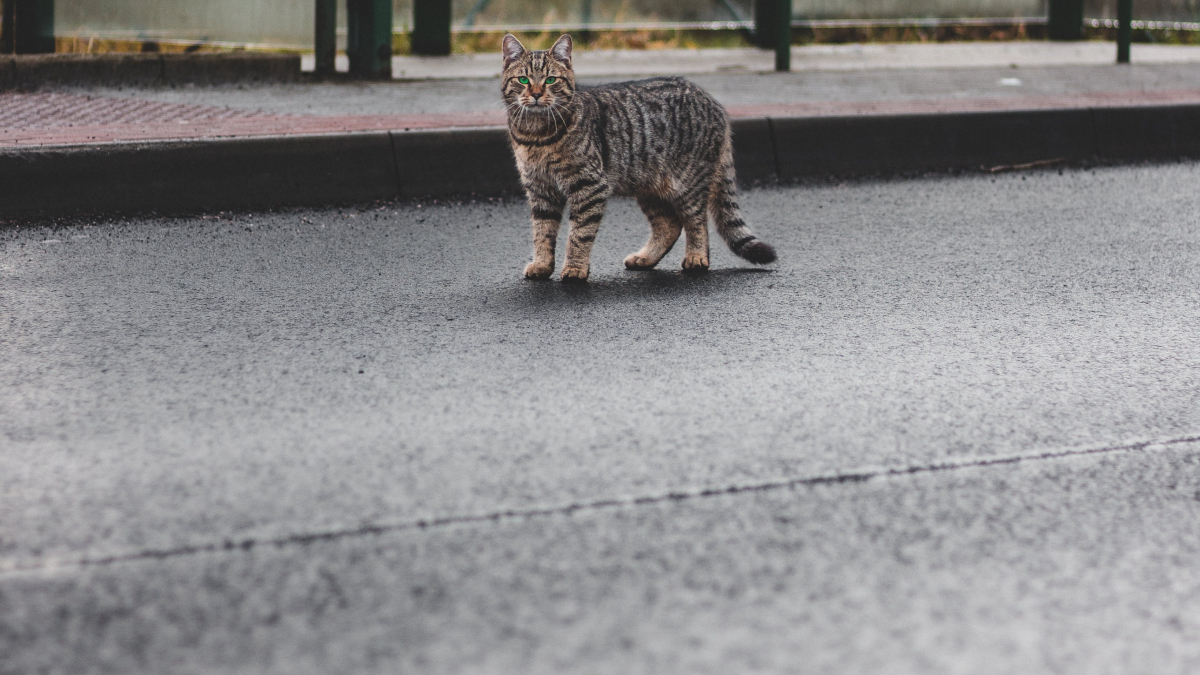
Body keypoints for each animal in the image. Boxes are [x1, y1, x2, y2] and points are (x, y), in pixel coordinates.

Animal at [499, 32, 772, 279]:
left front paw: (575, 268)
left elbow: (579, 233)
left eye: (550, 80)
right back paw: (645, 258)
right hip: (649, 188)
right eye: (523, 79)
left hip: (687, 183)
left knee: (696, 221)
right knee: (669, 225)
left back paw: (696, 257)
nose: (536, 94)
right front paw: (542, 265)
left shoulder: (589, 185)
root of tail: (713, 102)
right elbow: (542, 232)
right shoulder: (540, 189)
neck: (535, 134)